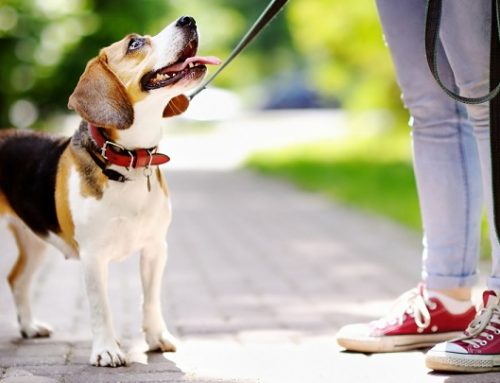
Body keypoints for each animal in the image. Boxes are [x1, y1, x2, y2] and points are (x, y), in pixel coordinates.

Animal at [0, 16, 220, 368]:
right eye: (135, 44)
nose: (188, 19)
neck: (129, 160)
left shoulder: (155, 248)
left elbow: (151, 299)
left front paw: (156, 338)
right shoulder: (93, 256)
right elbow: (100, 307)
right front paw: (106, 350)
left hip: (34, 240)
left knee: (16, 279)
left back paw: (30, 327)